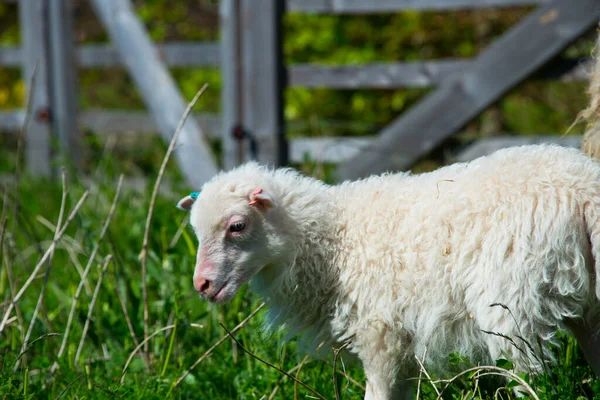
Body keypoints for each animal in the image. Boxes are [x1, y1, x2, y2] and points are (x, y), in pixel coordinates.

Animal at [177, 145, 600, 400]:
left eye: (237, 226)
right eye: (195, 231)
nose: (202, 284)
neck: (330, 240)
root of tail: (584, 187)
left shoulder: (381, 333)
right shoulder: (403, 342)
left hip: (514, 305)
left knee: (531, 377)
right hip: (586, 300)